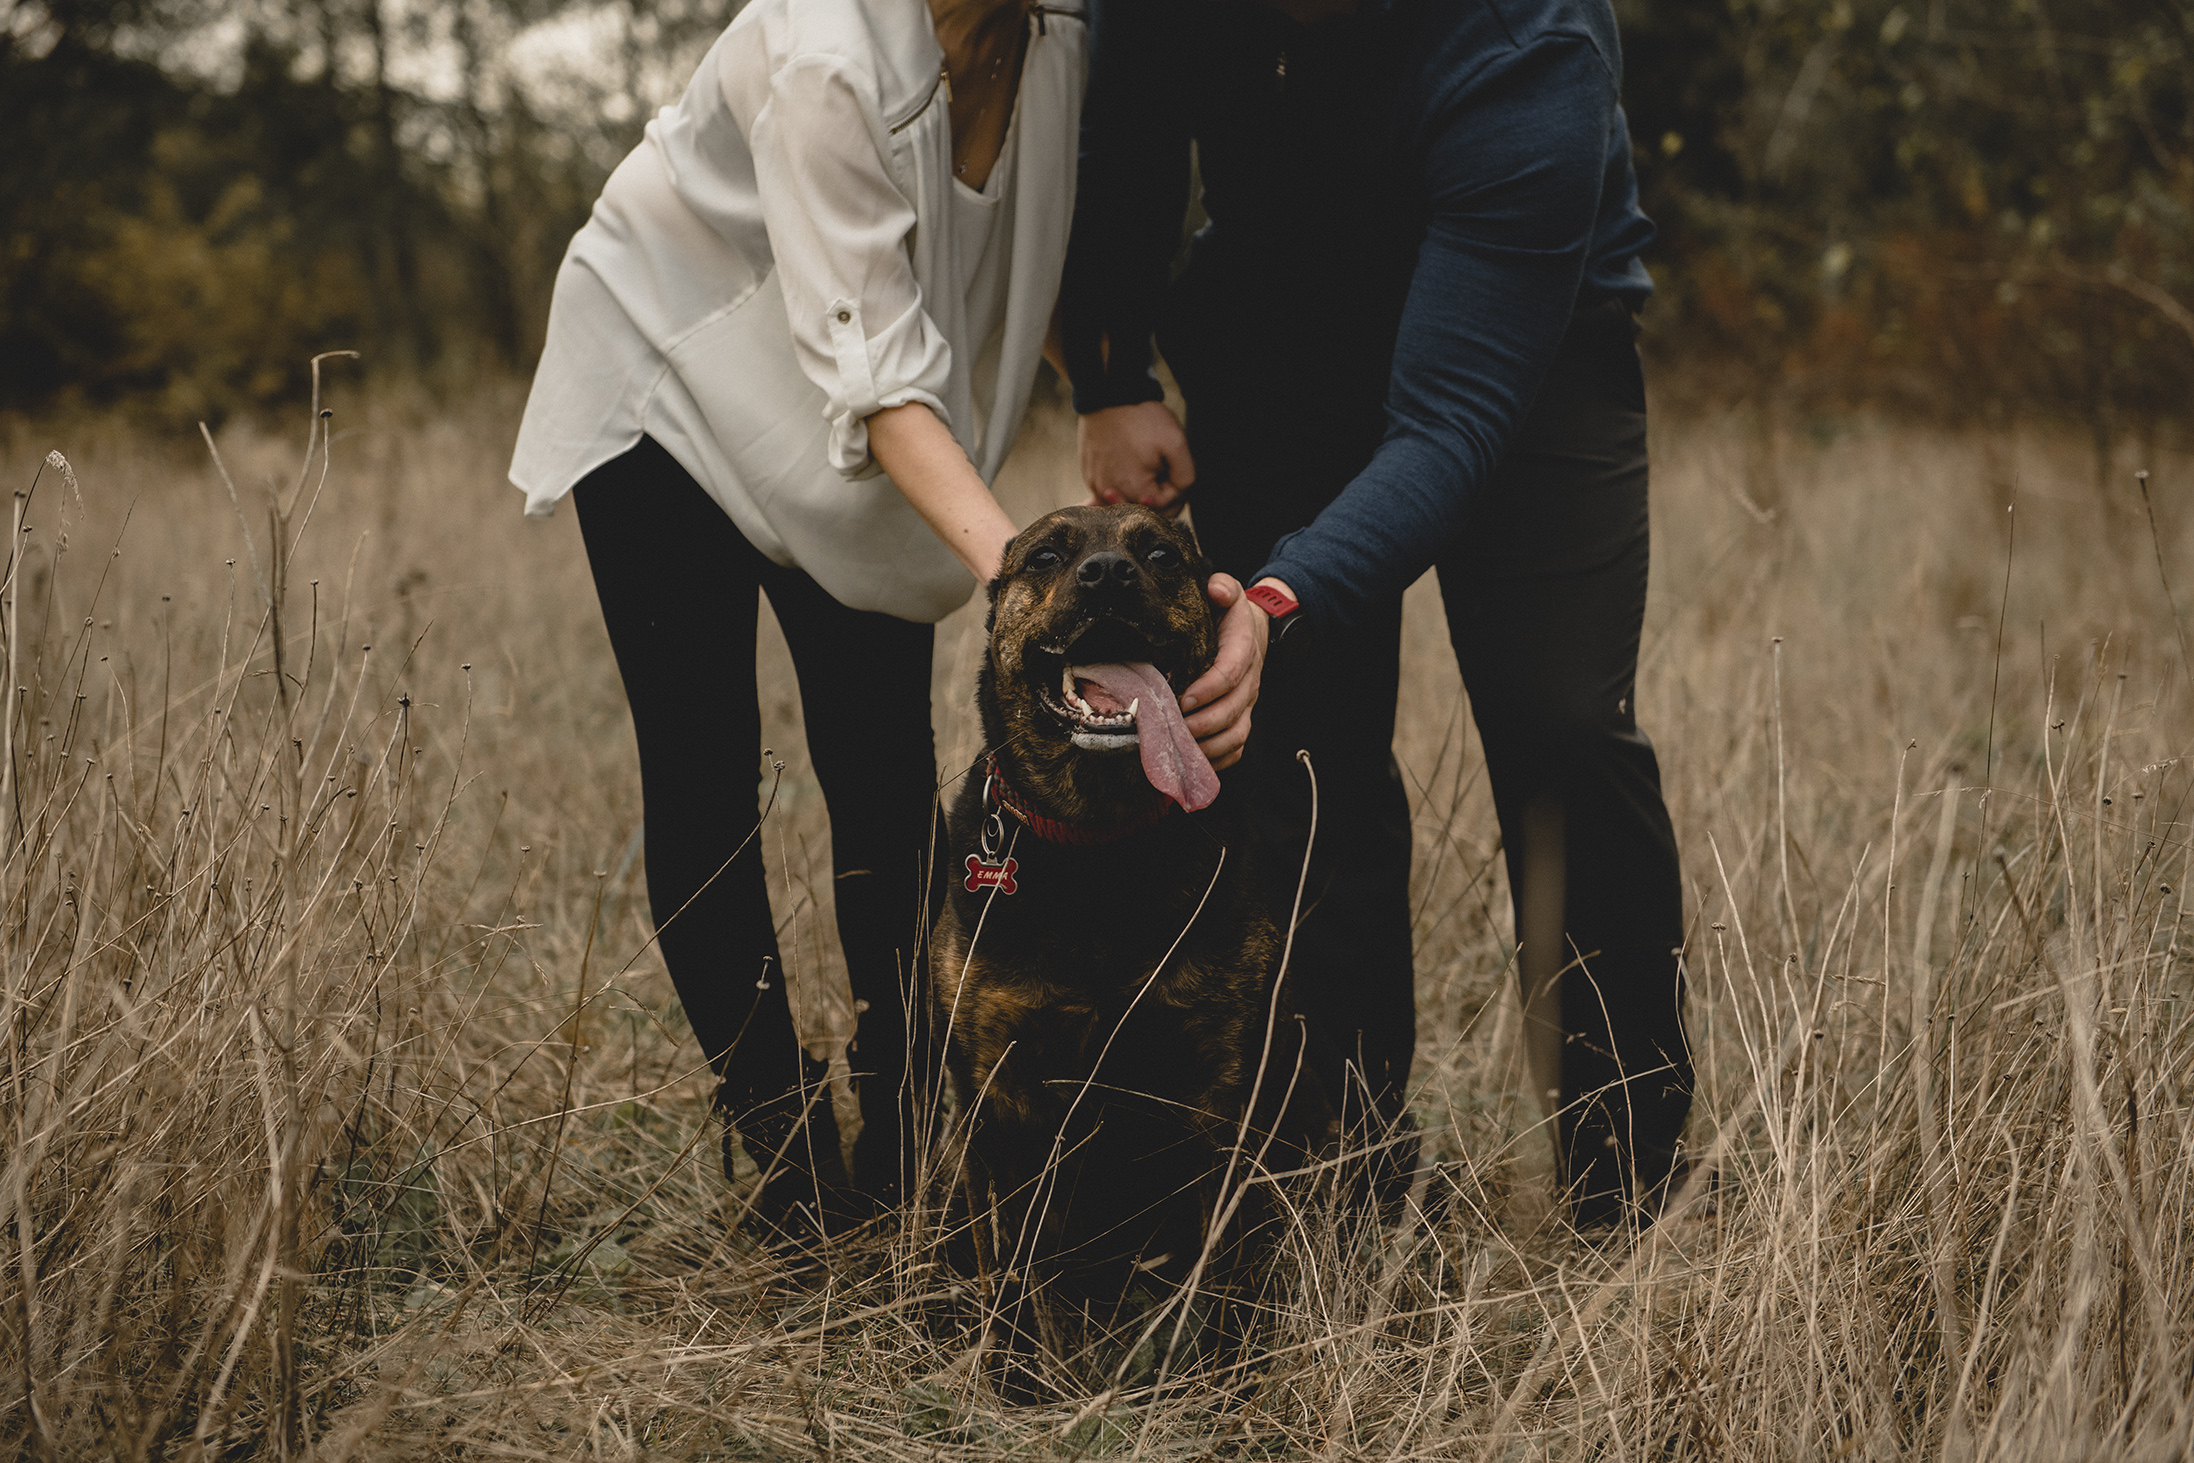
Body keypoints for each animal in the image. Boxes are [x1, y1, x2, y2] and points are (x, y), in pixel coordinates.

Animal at [930, 504, 1333, 1386]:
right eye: (1047, 556)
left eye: (1159, 554)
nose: (1109, 573)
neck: (1101, 842)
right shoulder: (995, 1098)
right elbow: (1010, 1271)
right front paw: (1015, 1386)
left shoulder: (1219, 1099)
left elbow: (1215, 1272)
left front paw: (1213, 1382)